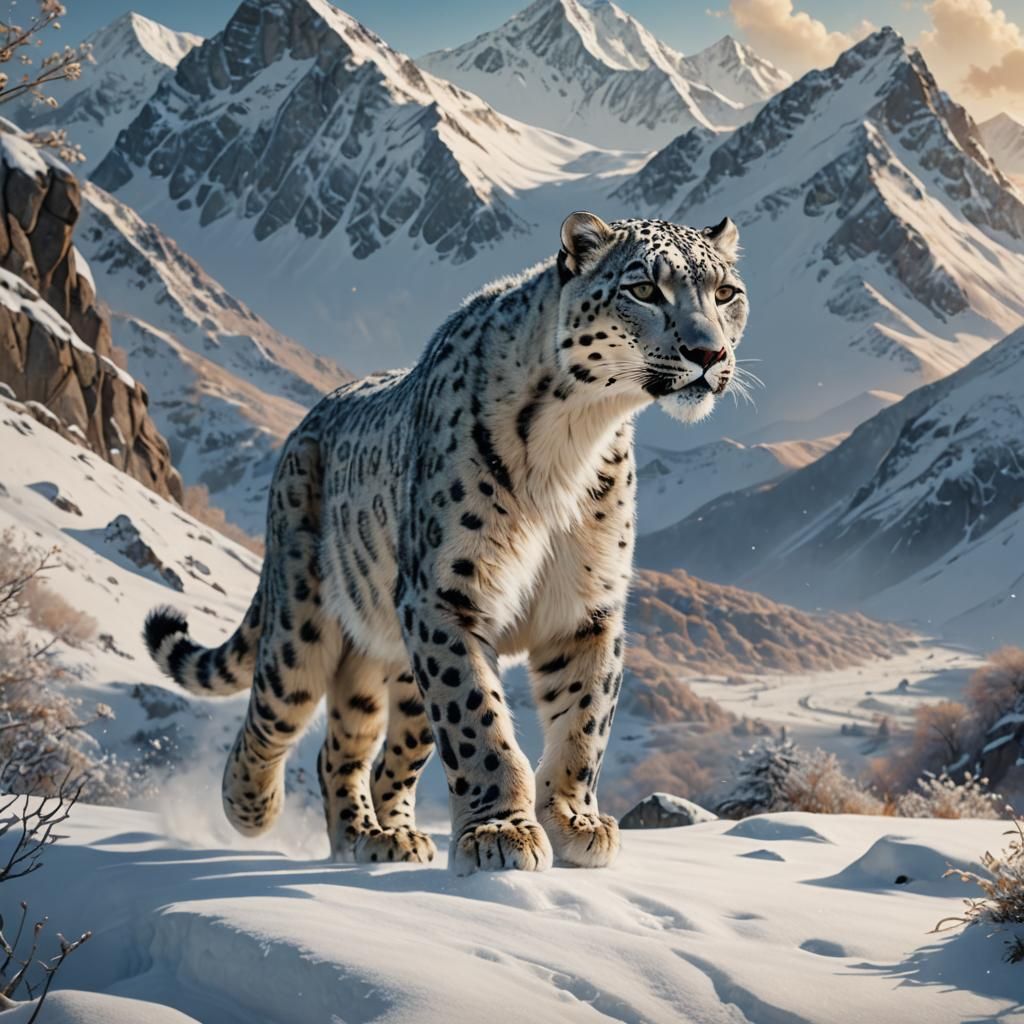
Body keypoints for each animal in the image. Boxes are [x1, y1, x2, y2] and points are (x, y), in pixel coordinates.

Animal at [144, 211, 749, 875]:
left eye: (726, 293)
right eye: (643, 289)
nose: (709, 352)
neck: (577, 435)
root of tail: (305, 423)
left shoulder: (586, 604)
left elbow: (584, 719)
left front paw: (574, 821)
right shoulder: (448, 592)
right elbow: (475, 719)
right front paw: (500, 831)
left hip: (391, 669)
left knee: (362, 752)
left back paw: (382, 836)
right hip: (303, 624)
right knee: (276, 712)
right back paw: (252, 807)